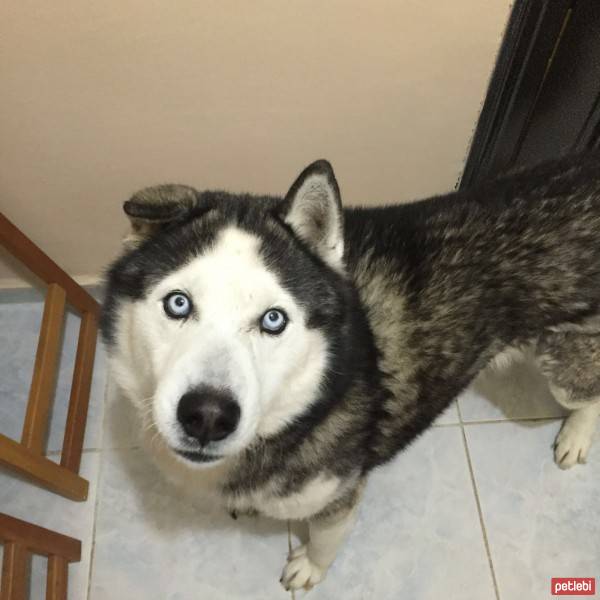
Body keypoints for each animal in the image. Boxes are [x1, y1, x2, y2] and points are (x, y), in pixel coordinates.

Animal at [102, 154, 600, 592]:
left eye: (273, 320)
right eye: (178, 303)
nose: (208, 416)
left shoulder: (339, 494)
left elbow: (326, 540)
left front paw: (310, 568)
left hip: (564, 362)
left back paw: (576, 437)